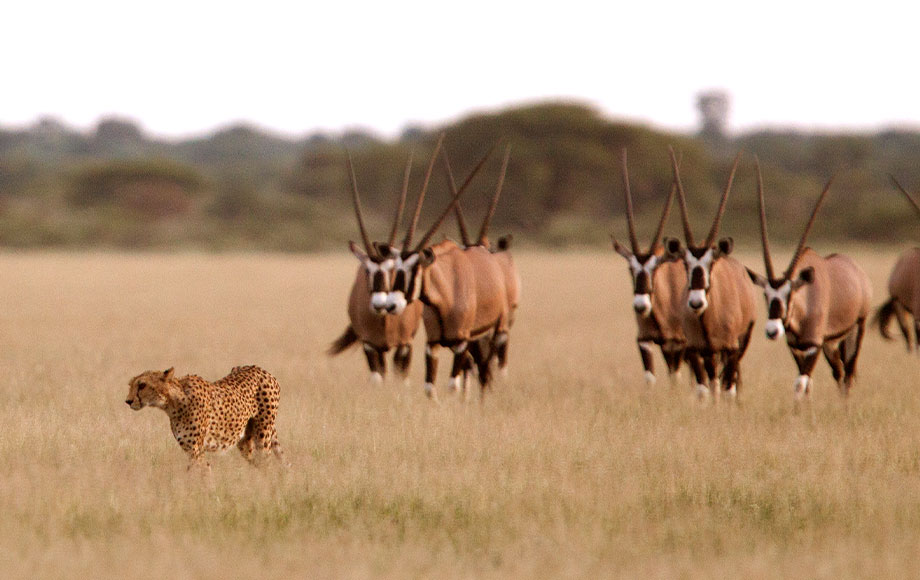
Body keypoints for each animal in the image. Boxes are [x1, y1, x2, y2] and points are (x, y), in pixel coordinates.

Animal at [126, 368, 284, 472]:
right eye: (131, 385)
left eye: (142, 385)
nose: (128, 401)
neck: (173, 403)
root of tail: (261, 370)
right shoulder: (190, 449)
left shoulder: (196, 450)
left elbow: (203, 473)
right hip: (245, 442)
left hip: (263, 435)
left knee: (266, 462)